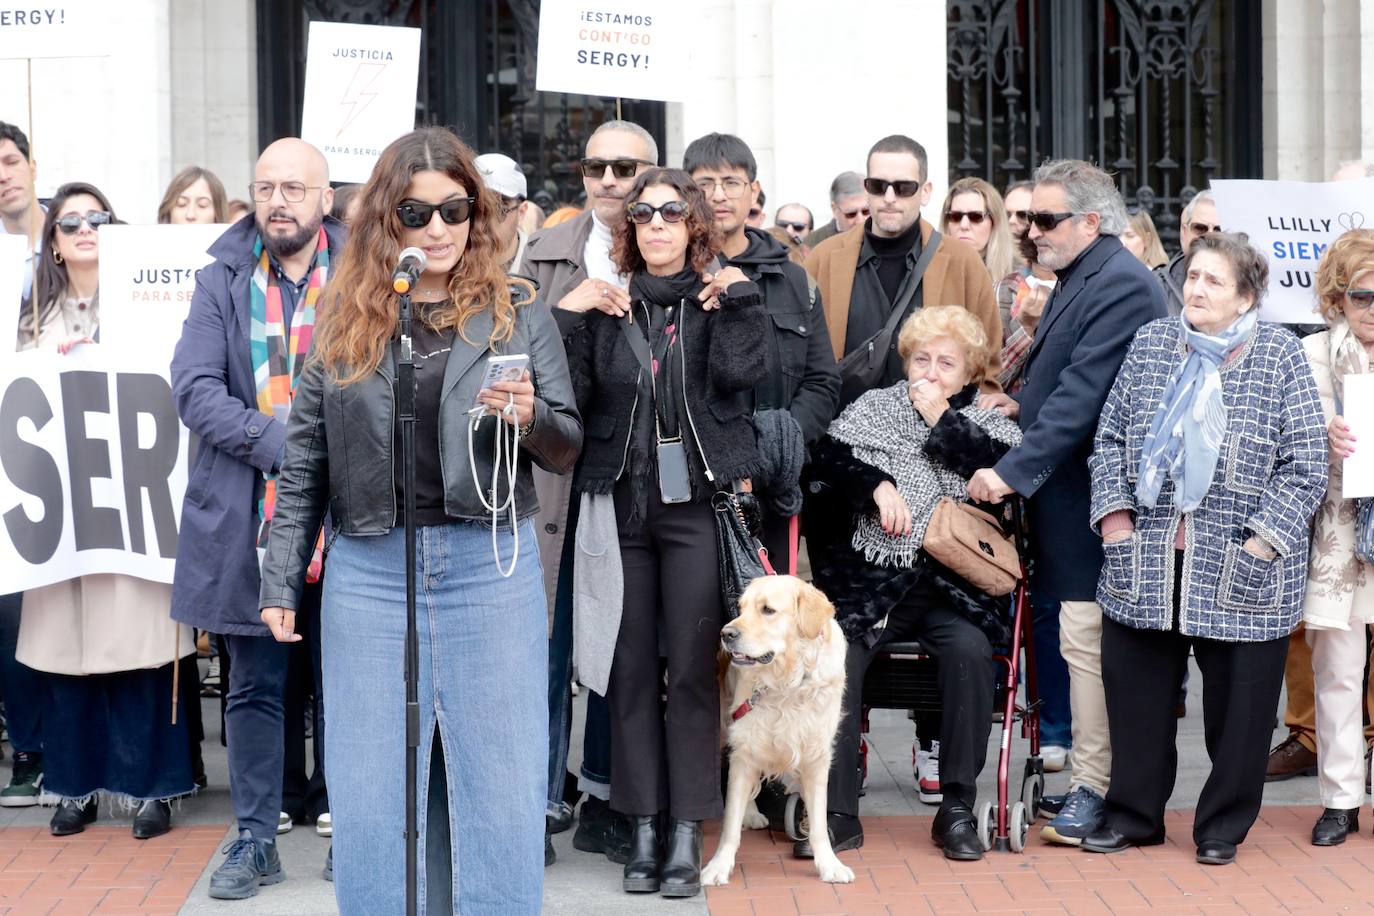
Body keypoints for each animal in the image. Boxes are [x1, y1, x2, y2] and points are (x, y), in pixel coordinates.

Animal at [703, 576, 851, 884]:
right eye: (741, 608)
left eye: (768, 610)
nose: (726, 634)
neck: (790, 680)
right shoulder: (745, 744)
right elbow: (730, 822)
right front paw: (719, 866)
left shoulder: (816, 756)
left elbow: (819, 823)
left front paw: (829, 865)